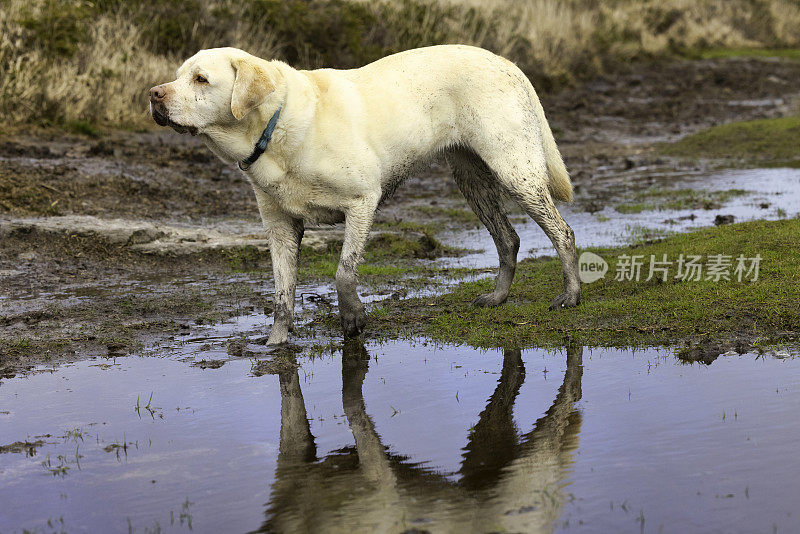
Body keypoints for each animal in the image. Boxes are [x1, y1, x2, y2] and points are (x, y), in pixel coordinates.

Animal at [150, 47, 580, 348]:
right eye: (177, 76)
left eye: (201, 79)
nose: (153, 94)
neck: (274, 126)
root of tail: (508, 63)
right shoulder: (280, 227)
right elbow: (282, 295)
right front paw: (274, 345)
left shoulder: (362, 201)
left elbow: (343, 272)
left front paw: (353, 317)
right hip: (471, 178)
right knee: (509, 238)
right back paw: (497, 297)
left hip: (515, 170)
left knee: (562, 232)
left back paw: (571, 295)